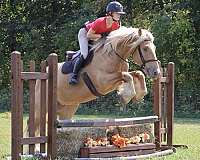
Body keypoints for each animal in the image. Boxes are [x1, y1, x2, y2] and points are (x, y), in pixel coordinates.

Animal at [33, 26, 161, 136]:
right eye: (145, 48)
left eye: (155, 48)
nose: (156, 72)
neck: (112, 56)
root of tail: (43, 73)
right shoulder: (103, 82)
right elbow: (128, 76)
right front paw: (125, 97)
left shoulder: (117, 81)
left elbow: (137, 74)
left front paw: (139, 96)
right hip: (41, 109)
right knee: (35, 126)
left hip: (67, 108)